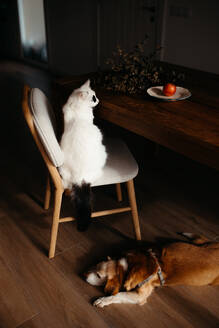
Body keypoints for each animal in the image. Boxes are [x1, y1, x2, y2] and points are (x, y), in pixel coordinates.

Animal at [84, 233, 219, 308]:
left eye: (99, 275)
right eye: (95, 265)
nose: (83, 275)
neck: (129, 266)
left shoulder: (140, 296)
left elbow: (118, 295)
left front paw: (103, 300)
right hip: (204, 244)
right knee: (201, 240)